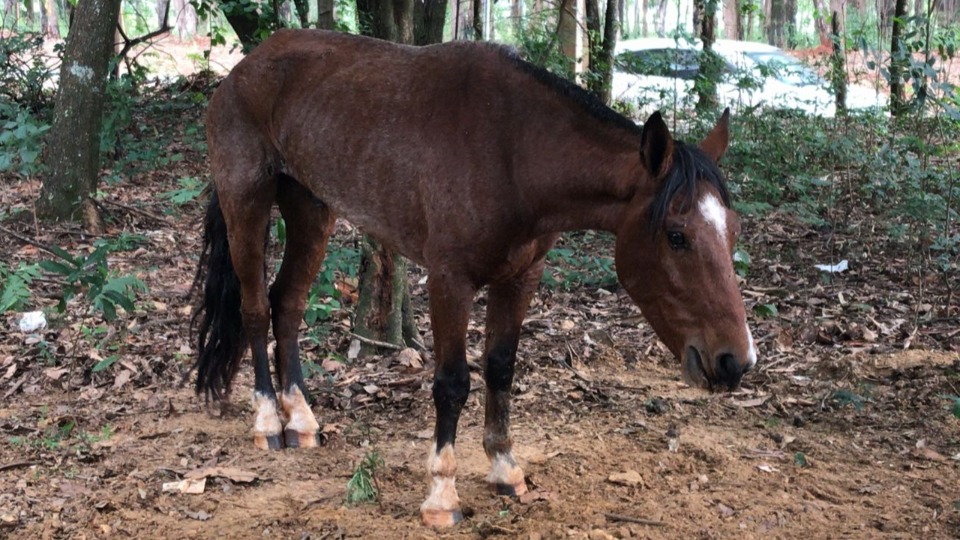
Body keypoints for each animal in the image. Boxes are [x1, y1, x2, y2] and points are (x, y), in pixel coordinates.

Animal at [193, 29, 756, 528]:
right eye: (677, 236)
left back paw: (302, 419)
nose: (736, 362)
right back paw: (269, 420)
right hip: (247, 200)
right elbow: (452, 383)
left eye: (732, 229)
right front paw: (442, 495)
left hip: (312, 208)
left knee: (286, 303)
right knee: (255, 307)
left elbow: (501, 368)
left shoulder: (522, 276)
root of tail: (247, 66)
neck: (513, 152)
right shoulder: (451, 281)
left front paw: (505, 468)